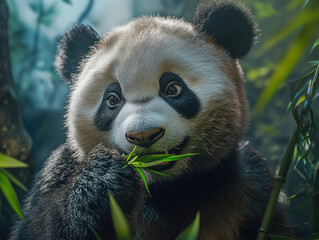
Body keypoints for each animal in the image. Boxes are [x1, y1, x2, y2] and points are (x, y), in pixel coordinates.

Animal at [8, 0, 292, 240]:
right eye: (112, 99)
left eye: (173, 89)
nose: (144, 135)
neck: (166, 189)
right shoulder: (59, 171)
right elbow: (39, 227)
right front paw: (106, 178)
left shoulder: (252, 188)